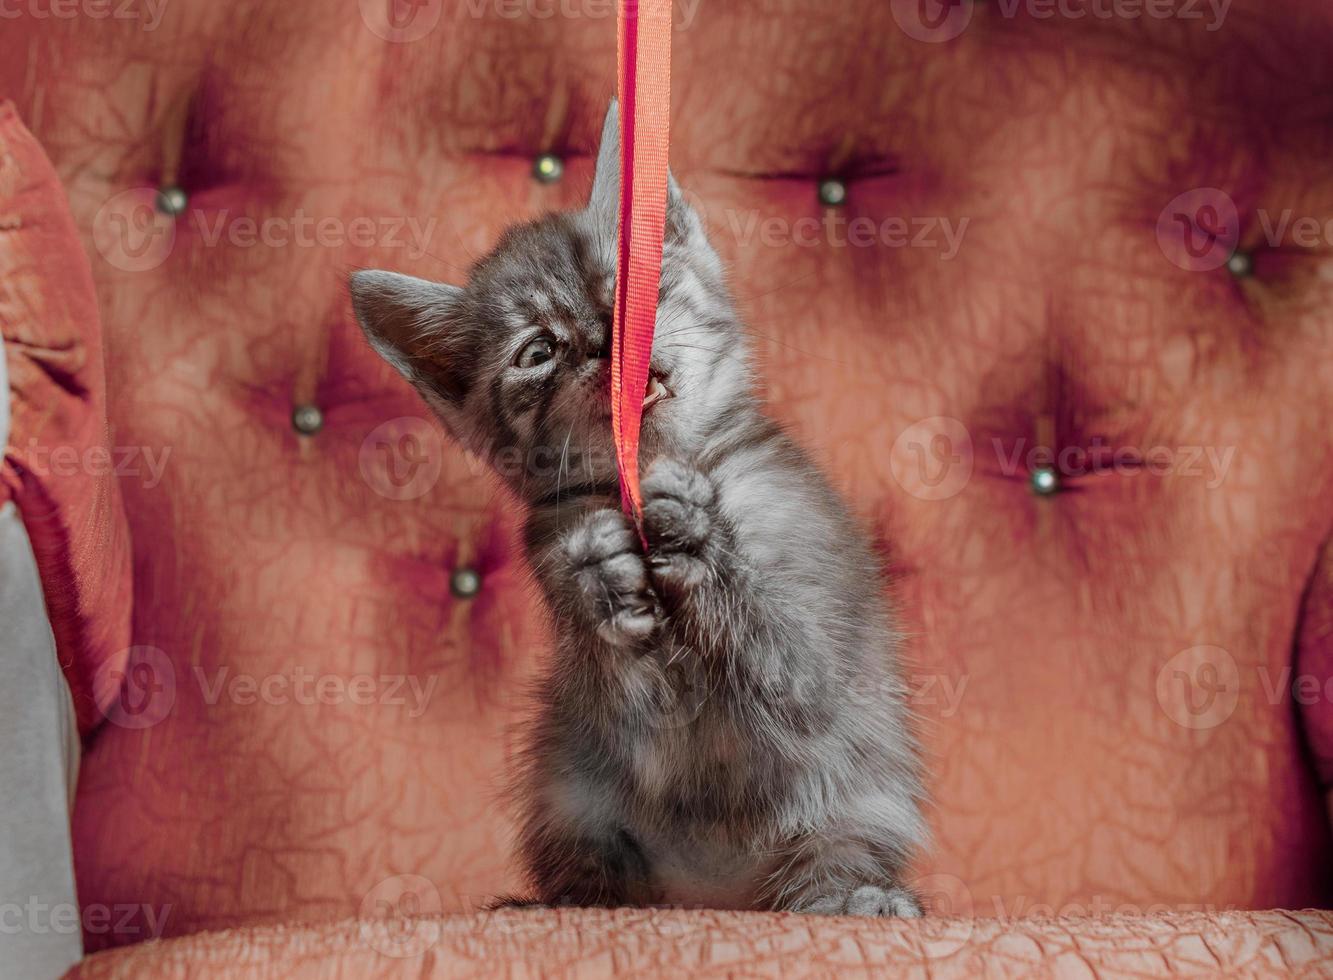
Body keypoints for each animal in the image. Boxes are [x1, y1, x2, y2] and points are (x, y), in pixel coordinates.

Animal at [349, 105, 922, 912]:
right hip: (566, 786)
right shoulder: (592, 646)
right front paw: (601, 575)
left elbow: (788, 660)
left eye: (630, 289)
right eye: (537, 352)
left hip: (865, 793)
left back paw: (853, 895)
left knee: (835, 850)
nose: (602, 337)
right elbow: (623, 689)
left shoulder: (819, 656)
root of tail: (713, 895)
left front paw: (699, 539)